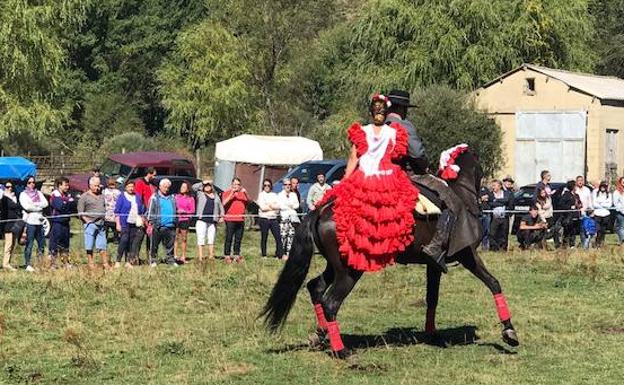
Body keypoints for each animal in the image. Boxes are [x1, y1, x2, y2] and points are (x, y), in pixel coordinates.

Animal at [260, 150, 520, 356]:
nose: (487, 193)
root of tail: (322, 209)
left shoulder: (434, 264)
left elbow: (432, 297)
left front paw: (432, 334)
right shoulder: (467, 255)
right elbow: (494, 283)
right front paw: (509, 332)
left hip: (336, 266)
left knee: (316, 287)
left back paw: (321, 334)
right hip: (349, 271)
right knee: (330, 302)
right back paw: (341, 350)